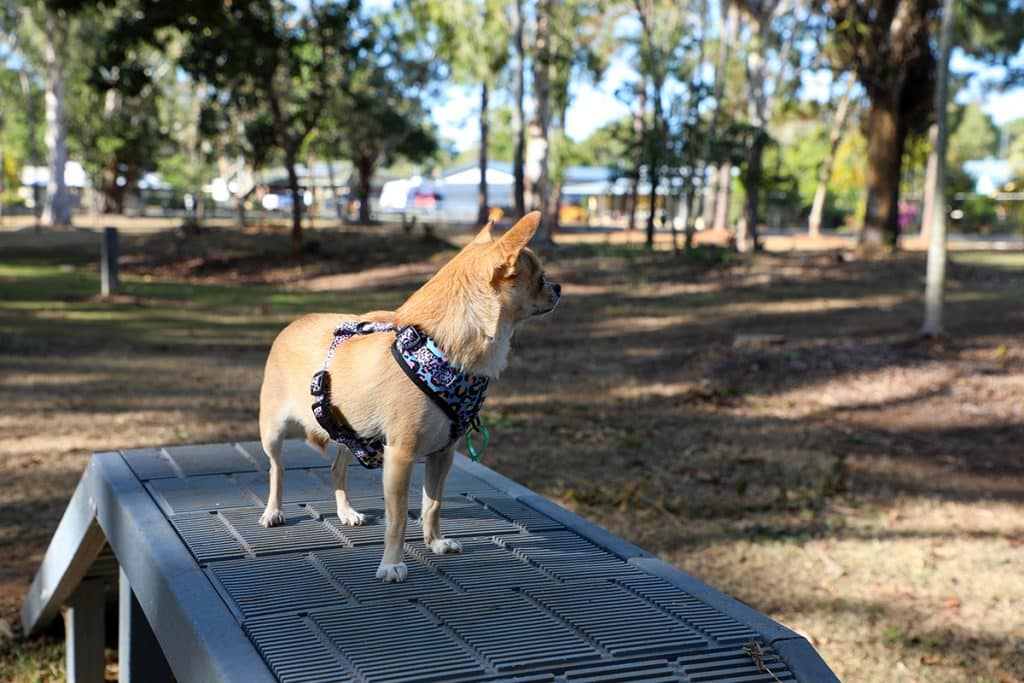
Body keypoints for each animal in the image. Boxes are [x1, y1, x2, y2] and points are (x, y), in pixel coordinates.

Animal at [256, 211, 561, 581]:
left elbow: (433, 504)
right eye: (541, 279)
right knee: (278, 469)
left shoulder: (442, 454)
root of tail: (292, 323)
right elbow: (398, 517)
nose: (559, 287)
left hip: (350, 431)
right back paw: (273, 511)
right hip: (273, 431)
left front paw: (436, 543)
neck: (440, 347)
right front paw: (391, 563)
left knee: (336, 468)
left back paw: (346, 512)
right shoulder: (400, 456)